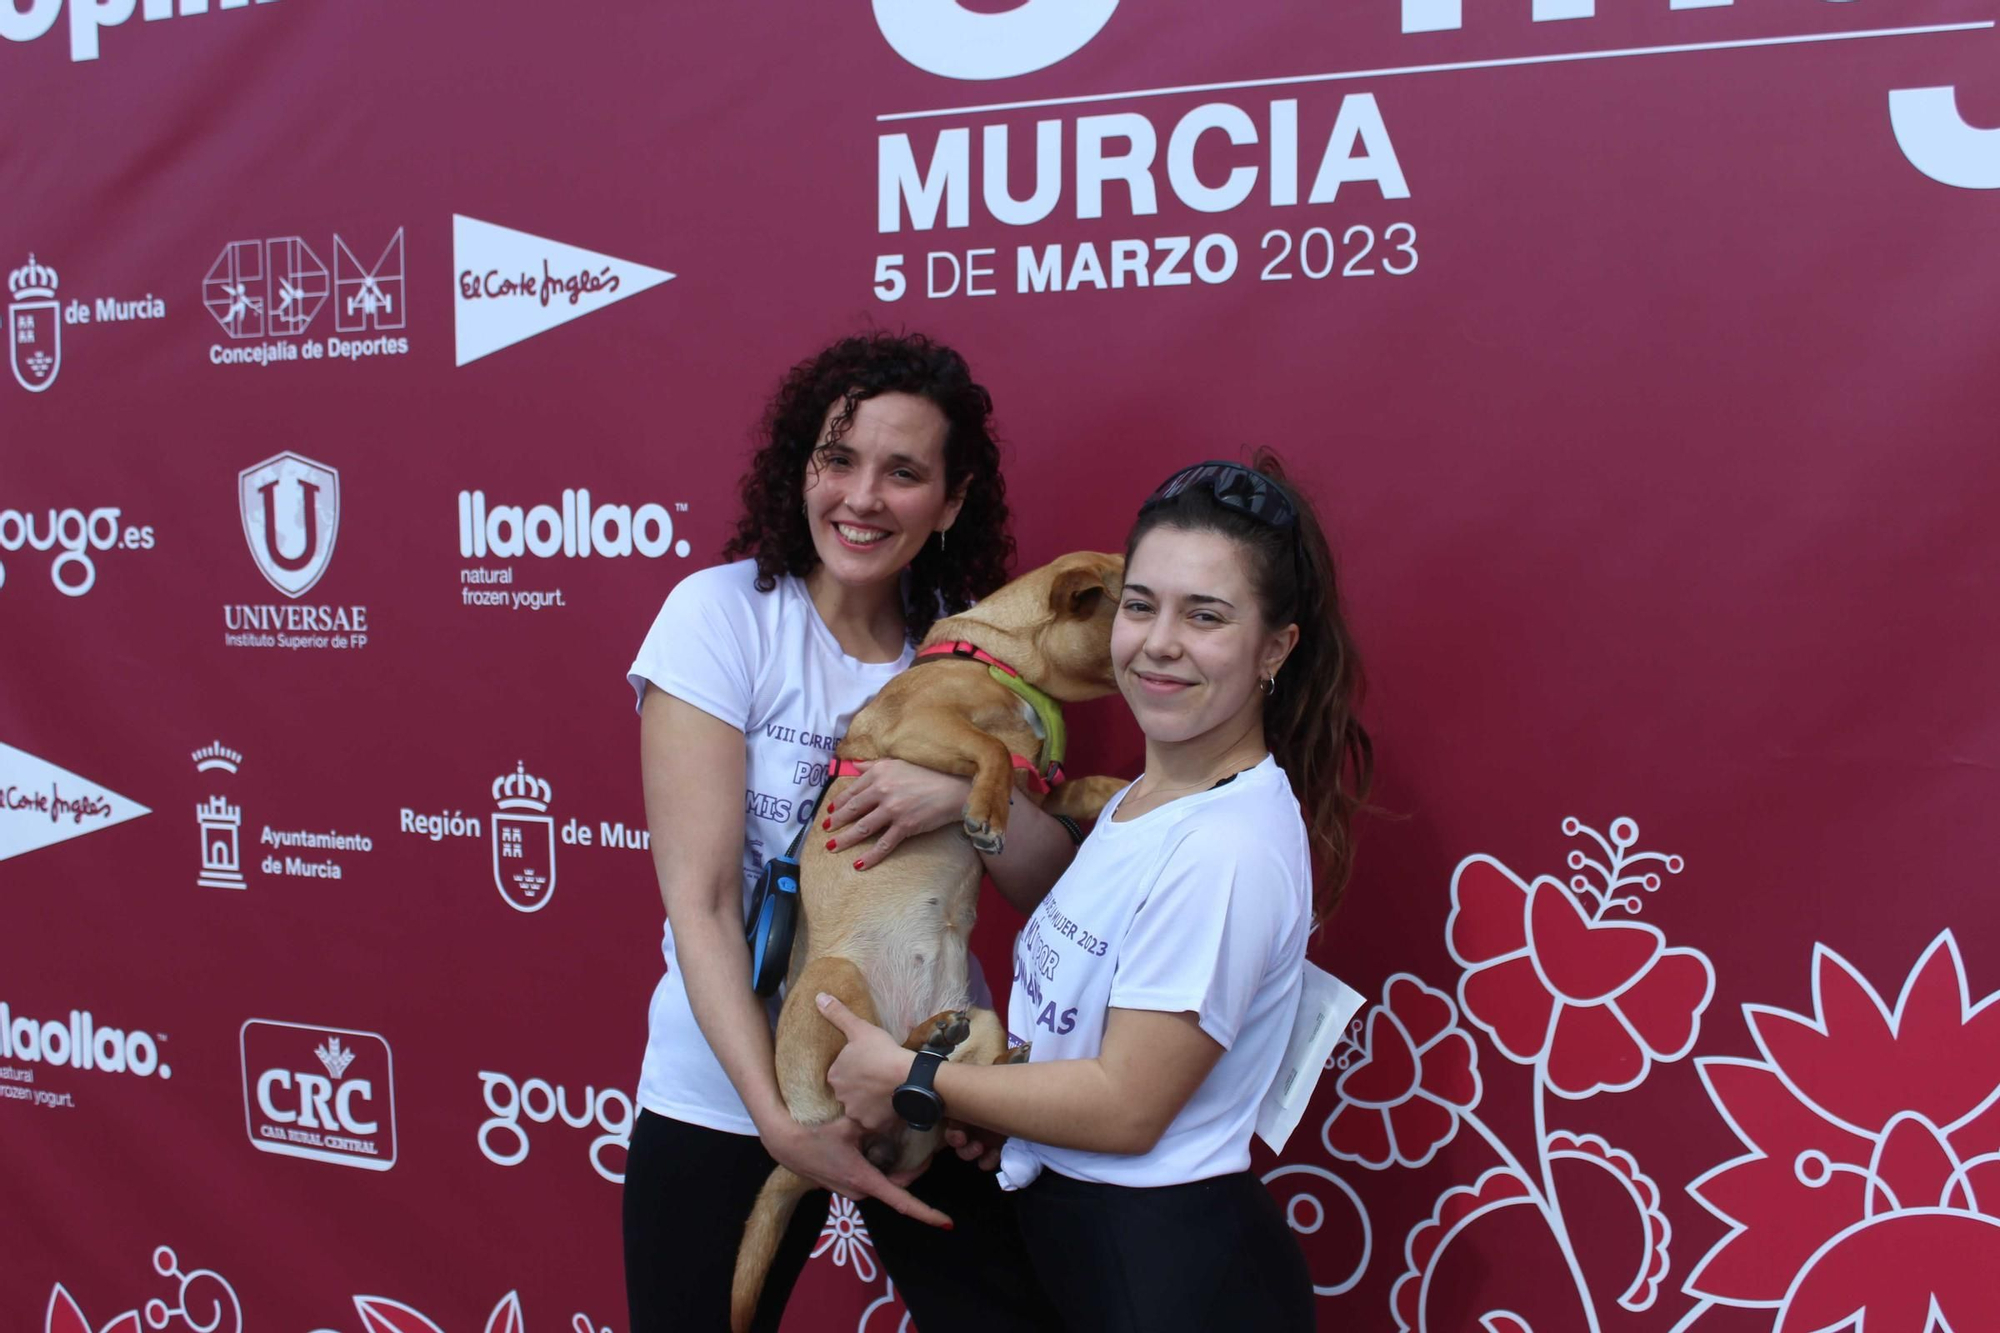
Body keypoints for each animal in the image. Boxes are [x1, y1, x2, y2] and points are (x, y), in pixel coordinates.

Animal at [732, 544, 1144, 1320]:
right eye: (1135, 601)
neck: (1004, 661)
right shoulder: (921, 729)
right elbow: (989, 748)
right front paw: (983, 809)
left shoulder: (1044, 790)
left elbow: (1079, 787)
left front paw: (1116, 792)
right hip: (835, 980)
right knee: (858, 1069)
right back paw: (925, 1042)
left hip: (974, 1019)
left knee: (932, 1072)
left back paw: (968, 1049)